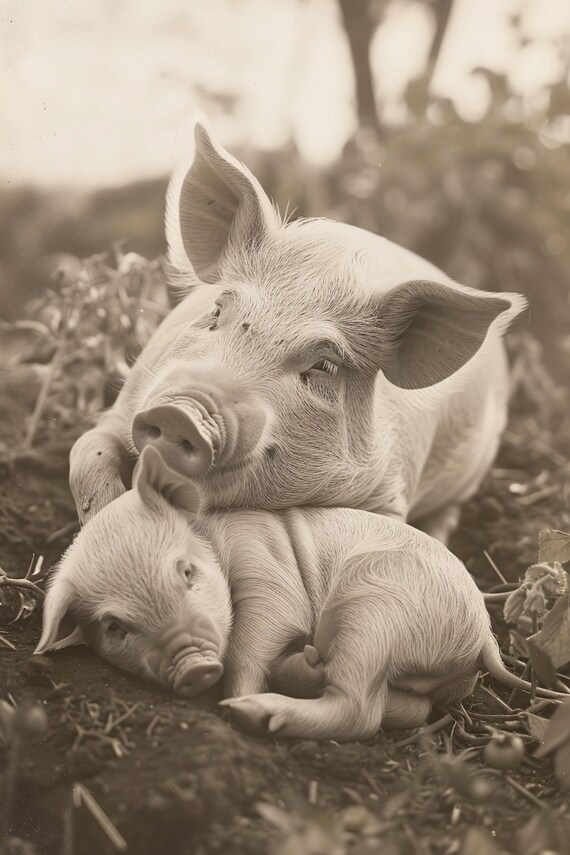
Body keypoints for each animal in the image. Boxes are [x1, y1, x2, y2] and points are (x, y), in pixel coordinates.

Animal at [36, 447, 565, 742]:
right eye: (114, 627)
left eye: (187, 571)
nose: (193, 666)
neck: (212, 535)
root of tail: (482, 633)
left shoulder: (265, 562)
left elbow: (260, 630)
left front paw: (232, 702)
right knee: (402, 708)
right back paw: (303, 670)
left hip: (375, 606)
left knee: (360, 712)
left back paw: (255, 712)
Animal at [68, 121, 526, 543]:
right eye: (217, 312)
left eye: (324, 365)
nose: (182, 411)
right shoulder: (125, 404)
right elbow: (86, 453)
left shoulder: (389, 492)